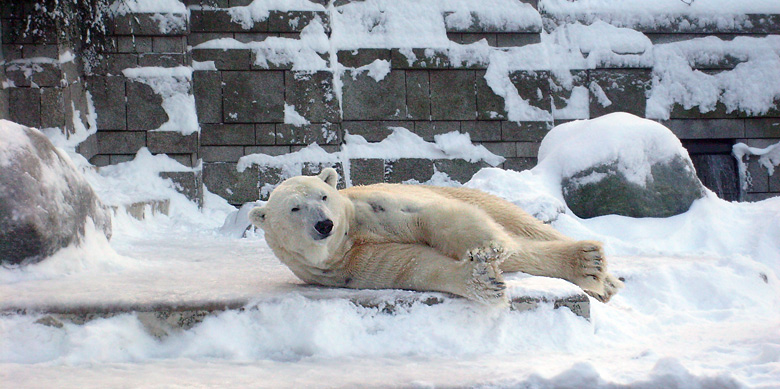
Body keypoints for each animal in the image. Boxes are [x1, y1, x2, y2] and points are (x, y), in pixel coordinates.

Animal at [253, 168, 624, 304]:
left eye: (323, 196)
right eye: (295, 208)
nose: (325, 225)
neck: (345, 241)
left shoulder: (367, 210)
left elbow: (427, 218)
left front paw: (488, 249)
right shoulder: (346, 267)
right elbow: (416, 265)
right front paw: (485, 280)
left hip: (478, 197)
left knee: (523, 227)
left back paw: (595, 268)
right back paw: (592, 269)